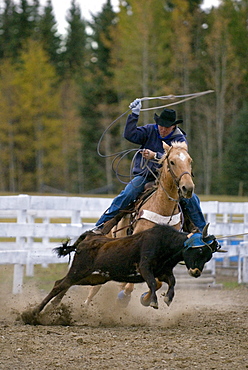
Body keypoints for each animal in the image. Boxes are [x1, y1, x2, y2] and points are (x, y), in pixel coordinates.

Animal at [84, 140, 195, 304]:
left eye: (190, 161)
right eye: (172, 162)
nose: (188, 188)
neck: (162, 210)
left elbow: (157, 282)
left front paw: (146, 298)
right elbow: (132, 285)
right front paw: (125, 296)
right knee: (93, 289)